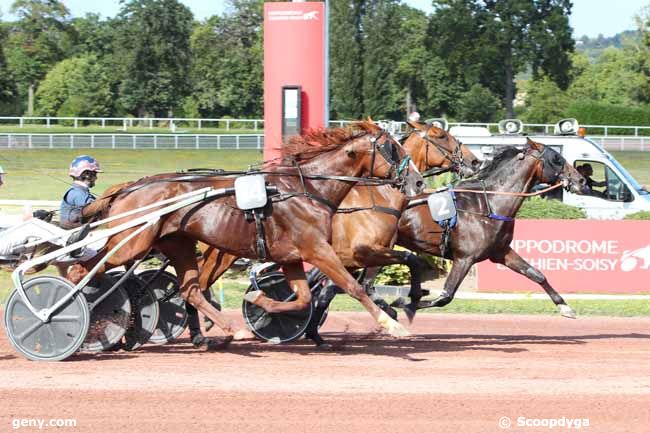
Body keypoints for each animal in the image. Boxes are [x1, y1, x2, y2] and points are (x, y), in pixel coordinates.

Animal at [78, 120, 422, 340]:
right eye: (392, 149)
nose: (418, 181)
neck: (308, 189)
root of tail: (130, 186)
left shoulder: (291, 257)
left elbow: (302, 299)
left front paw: (260, 303)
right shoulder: (318, 250)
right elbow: (354, 287)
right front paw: (393, 325)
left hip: (178, 244)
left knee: (191, 289)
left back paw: (231, 329)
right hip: (131, 243)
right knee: (82, 268)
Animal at [304, 138, 588, 344]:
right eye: (557, 159)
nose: (582, 180)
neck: (487, 203)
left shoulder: (501, 252)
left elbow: (537, 274)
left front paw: (565, 307)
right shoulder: (465, 258)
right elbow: (445, 296)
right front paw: (404, 304)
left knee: (334, 286)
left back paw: (315, 332)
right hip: (372, 249)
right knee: (347, 284)